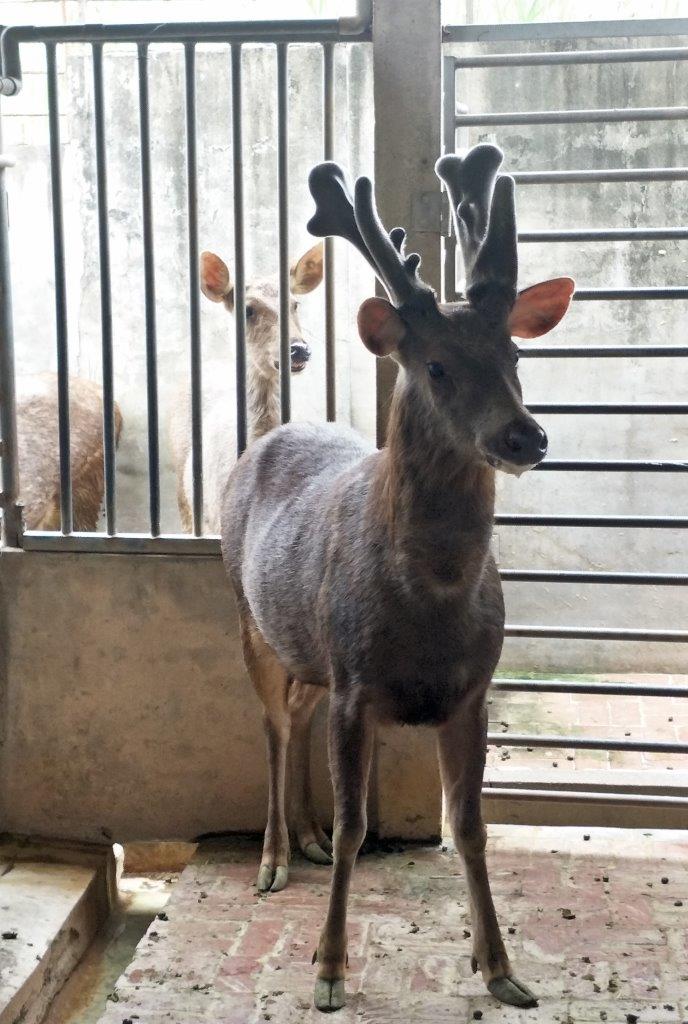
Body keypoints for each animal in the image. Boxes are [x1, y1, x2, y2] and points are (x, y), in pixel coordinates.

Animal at [222, 140, 573, 1011]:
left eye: (516, 354)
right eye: (438, 365)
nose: (526, 436)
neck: (433, 601)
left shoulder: (471, 691)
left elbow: (470, 824)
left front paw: (501, 968)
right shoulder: (357, 687)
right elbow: (359, 825)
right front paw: (327, 969)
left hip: (314, 651)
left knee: (297, 715)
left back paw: (305, 840)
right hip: (246, 615)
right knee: (272, 726)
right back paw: (274, 859)